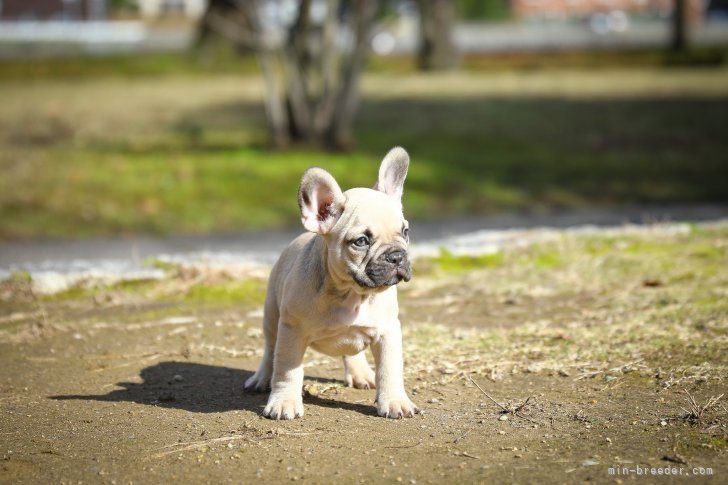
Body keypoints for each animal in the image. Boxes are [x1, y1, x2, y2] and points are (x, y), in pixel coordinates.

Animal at [245, 146, 418, 418]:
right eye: (361, 241)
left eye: (405, 232)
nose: (396, 256)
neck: (352, 294)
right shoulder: (291, 332)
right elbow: (286, 370)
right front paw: (284, 402)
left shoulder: (388, 331)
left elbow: (390, 370)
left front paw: (394, 401)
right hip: (271, 315)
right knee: (270, 350)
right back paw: (261, 378)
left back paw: (361, 373)